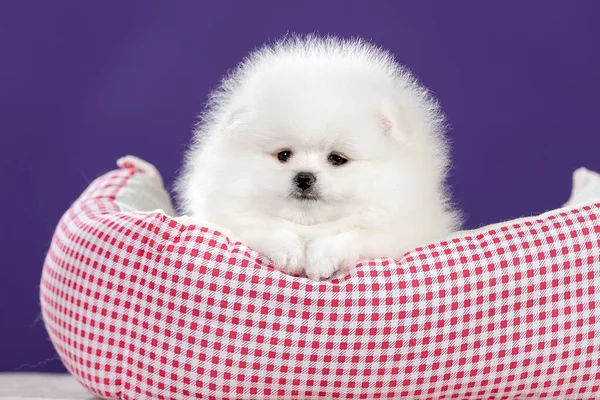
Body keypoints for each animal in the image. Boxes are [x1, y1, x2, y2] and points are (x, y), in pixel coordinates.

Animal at [176, 35, 462, 282]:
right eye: (284, 155)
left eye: (337, 159)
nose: (304, 177)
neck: (310, 227)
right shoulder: (229, 217)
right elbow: (265, 228)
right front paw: (289, 252)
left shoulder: (404, 232)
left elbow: (358, 235)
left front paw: (323, 258)